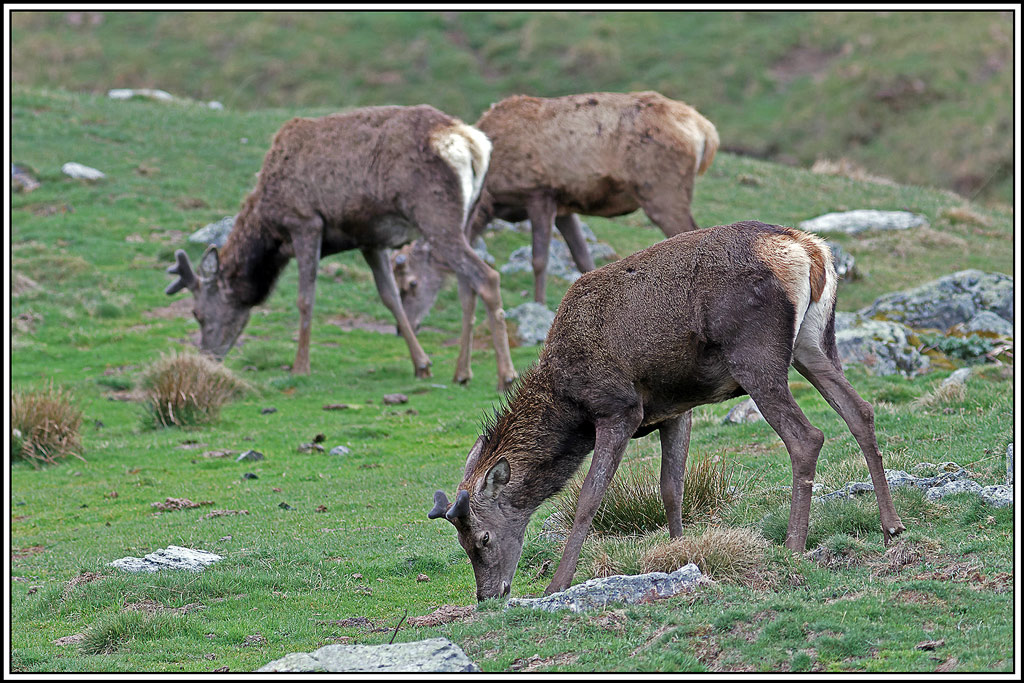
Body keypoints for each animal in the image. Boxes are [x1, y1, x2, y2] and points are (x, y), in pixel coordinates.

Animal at [164, 104, 518, 391]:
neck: (270, 232)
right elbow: (391, 298)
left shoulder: (305, 222)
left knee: (487, 277)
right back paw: (462, 373)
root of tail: (472, 143)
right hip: (467, 217)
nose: (206, 359)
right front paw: (422, 364)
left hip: (435, 214)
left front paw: (300, 367)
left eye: (197, 313)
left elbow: (305, 299)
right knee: (466, 286)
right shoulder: (370, 240)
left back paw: (506, 375)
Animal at [394, 90, 719, 331]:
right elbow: (582, 258)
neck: (490, 196)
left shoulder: (539, 193)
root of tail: (706, 132)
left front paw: (538, 305)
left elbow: (539, 259)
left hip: (662, 191)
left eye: (411, 283)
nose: (402, 328)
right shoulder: (564, 208)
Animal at [428, 221, 905, 601]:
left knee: (807, 436)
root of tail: (810, 250)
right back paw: (892, 526)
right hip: (815, 341)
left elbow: (589, 498)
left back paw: (793, 546)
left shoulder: (619, 409)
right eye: (462, 543)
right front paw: (678, 557)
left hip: (755, 354)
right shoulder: (675, 410)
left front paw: (556, 585)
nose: (488, 596)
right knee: (860, 411)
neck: (568, 404)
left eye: (482, 539)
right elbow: (671, 489)